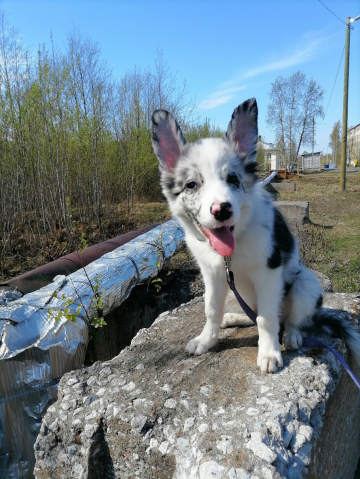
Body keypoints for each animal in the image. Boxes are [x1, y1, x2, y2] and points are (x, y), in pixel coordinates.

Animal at [150, 99, 360, 374]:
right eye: (191, 185)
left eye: (233, 179)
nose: (222, 210)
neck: (237, 239)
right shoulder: (213, 274)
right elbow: (211, 309)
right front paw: (207, 339)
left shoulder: (268, 273)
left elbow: (266, 319)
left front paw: (269, 352)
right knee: (253, 314)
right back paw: (233, 318)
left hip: (306, 283)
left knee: (292, 319)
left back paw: (291, 335)